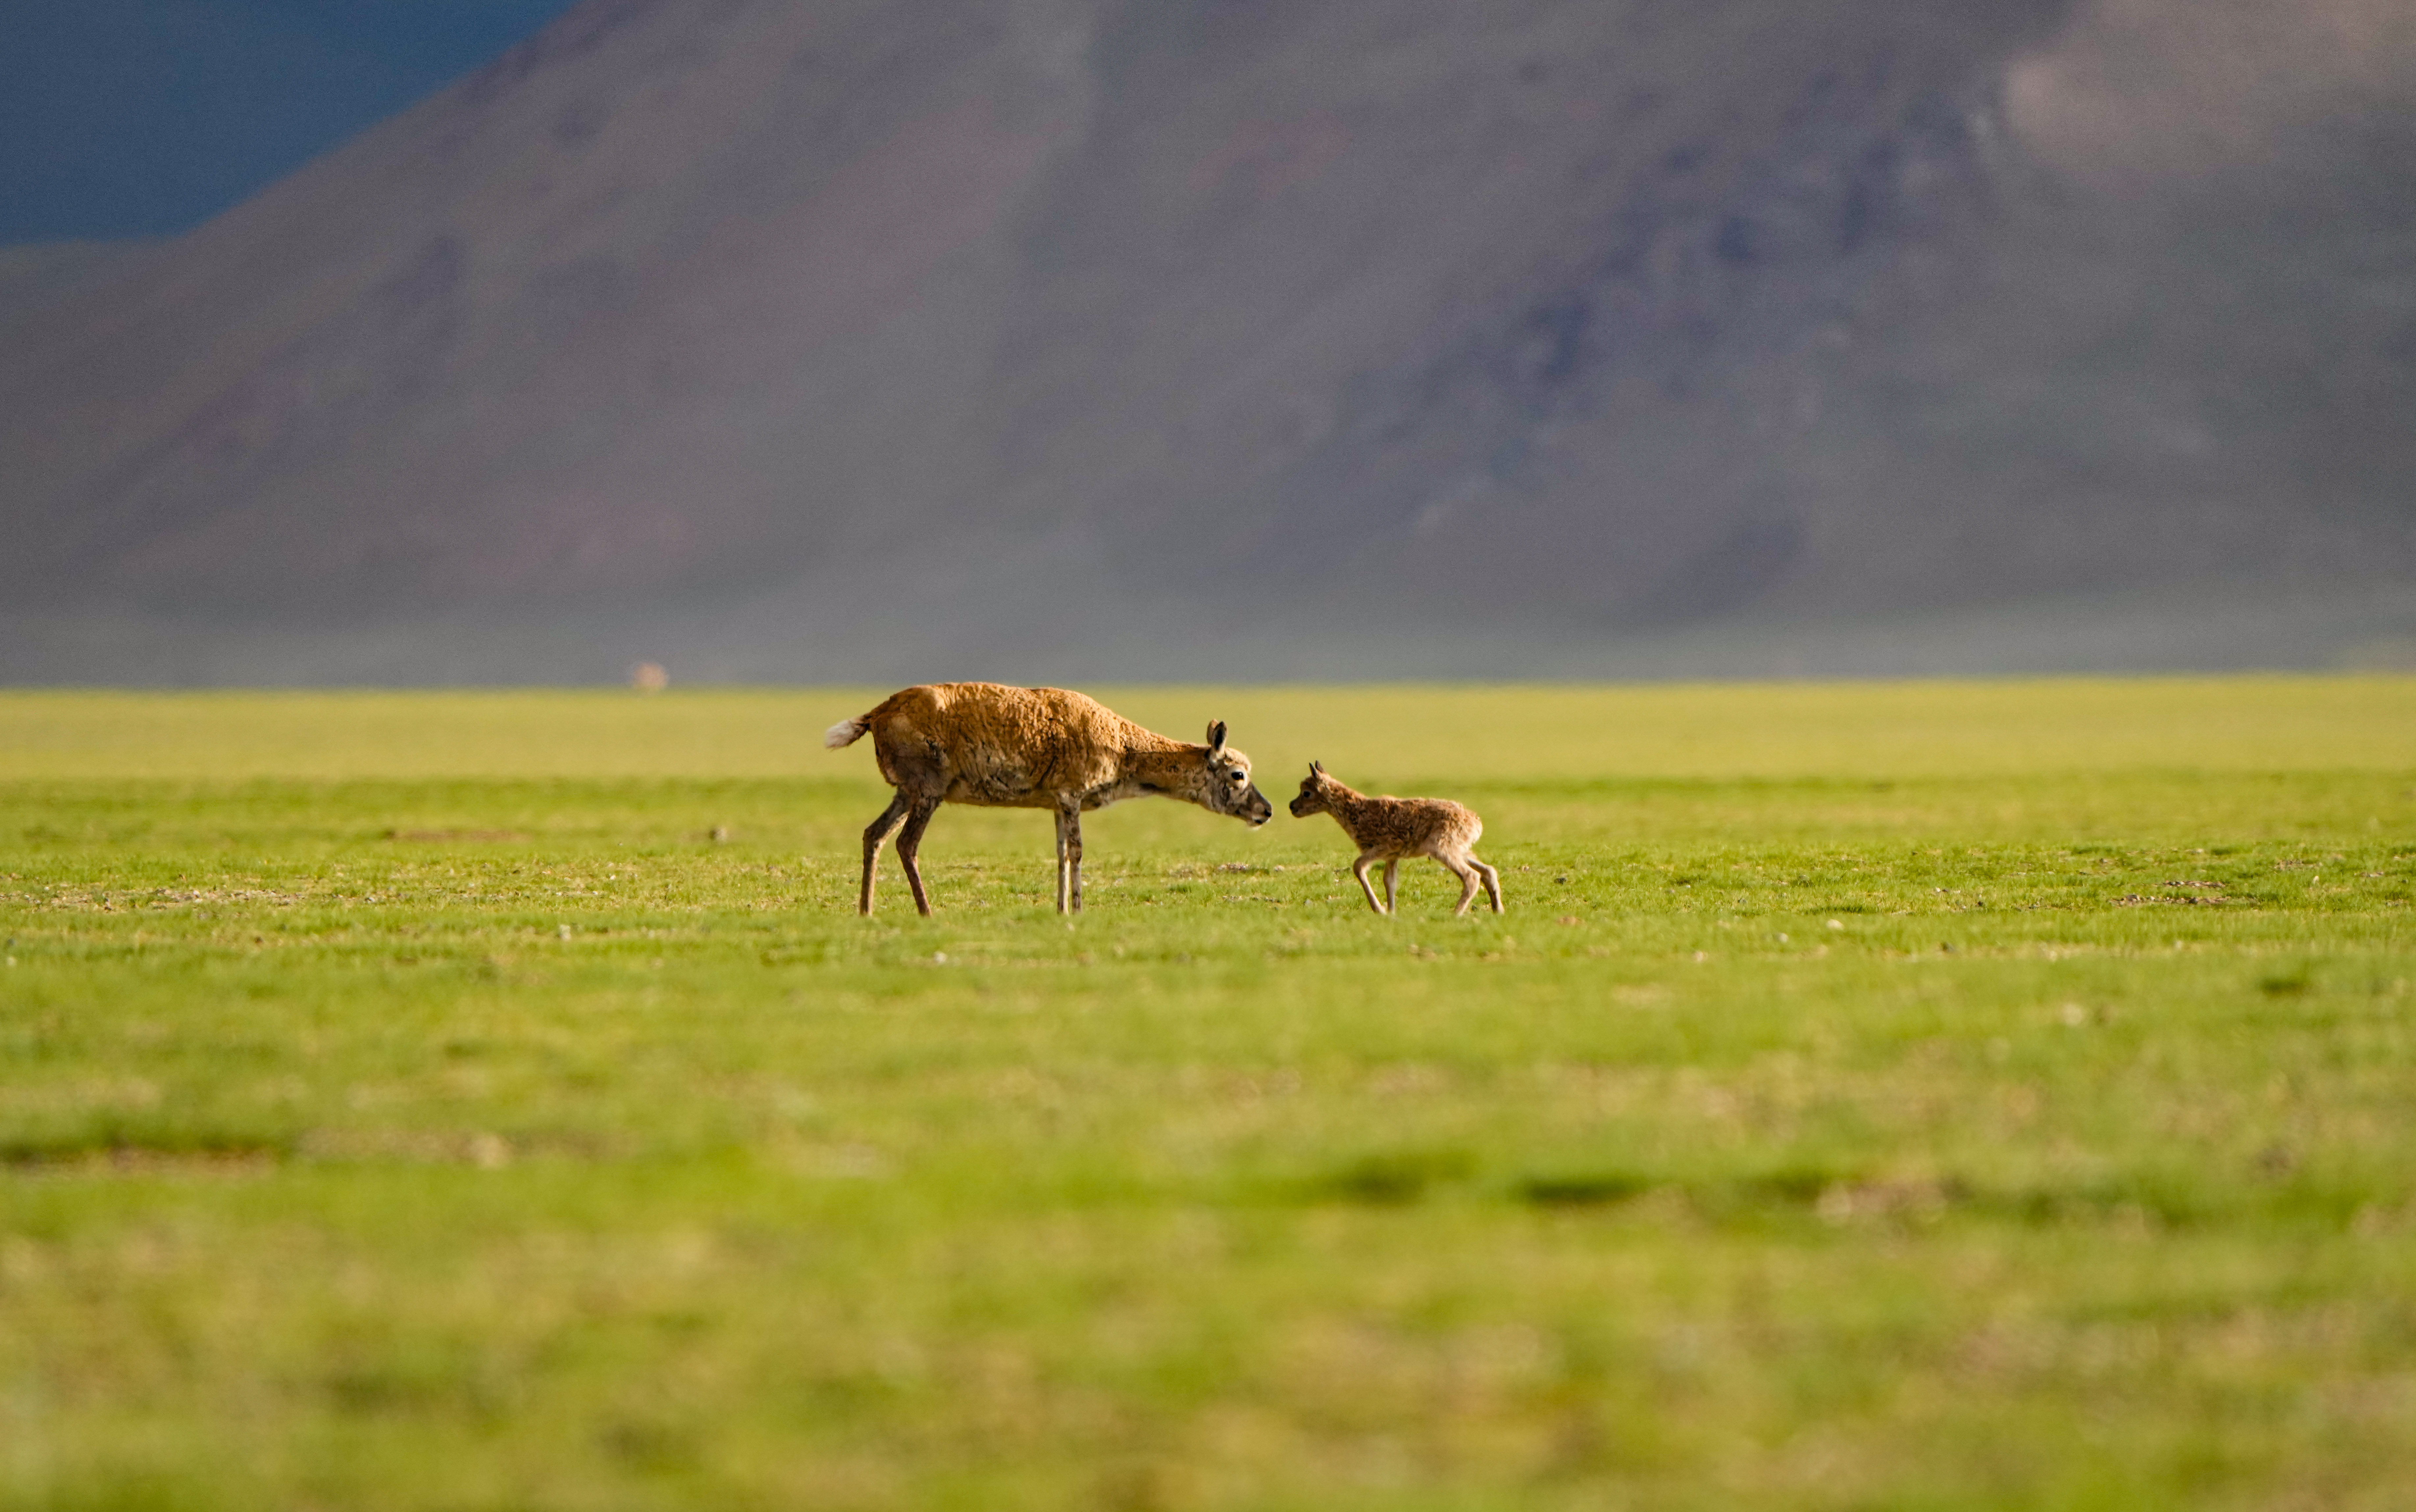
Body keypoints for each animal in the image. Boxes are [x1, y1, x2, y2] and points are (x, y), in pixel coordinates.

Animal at [821, 681, 1275, 913]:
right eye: (1238, 774)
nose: (1267, 810)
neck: (1124, 747)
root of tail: (877, 712)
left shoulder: (1056, 805)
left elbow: (1058, 854)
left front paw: (1060, 910)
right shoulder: (1071, 797)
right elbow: (1076, 852)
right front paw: (1077, 909)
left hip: (906, 794)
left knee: (874, 835)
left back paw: (866, 911)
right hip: (927, 793)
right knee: (906, 844)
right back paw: (926, 912)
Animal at [1295, 758, 1498, 913]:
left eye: (1307, 793)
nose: (1292, 807)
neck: (1357, 810)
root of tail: (1475, 822)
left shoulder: (1385, 848)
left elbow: (1358, 867)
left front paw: (1380, 910)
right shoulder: (1392, 857)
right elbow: (1390, 882)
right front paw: (1392, 913)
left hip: (1443, 850)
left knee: (1472, 877)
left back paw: (1456, 914)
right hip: (1460, 850)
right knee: (1488, 871)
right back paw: (1498, 911)